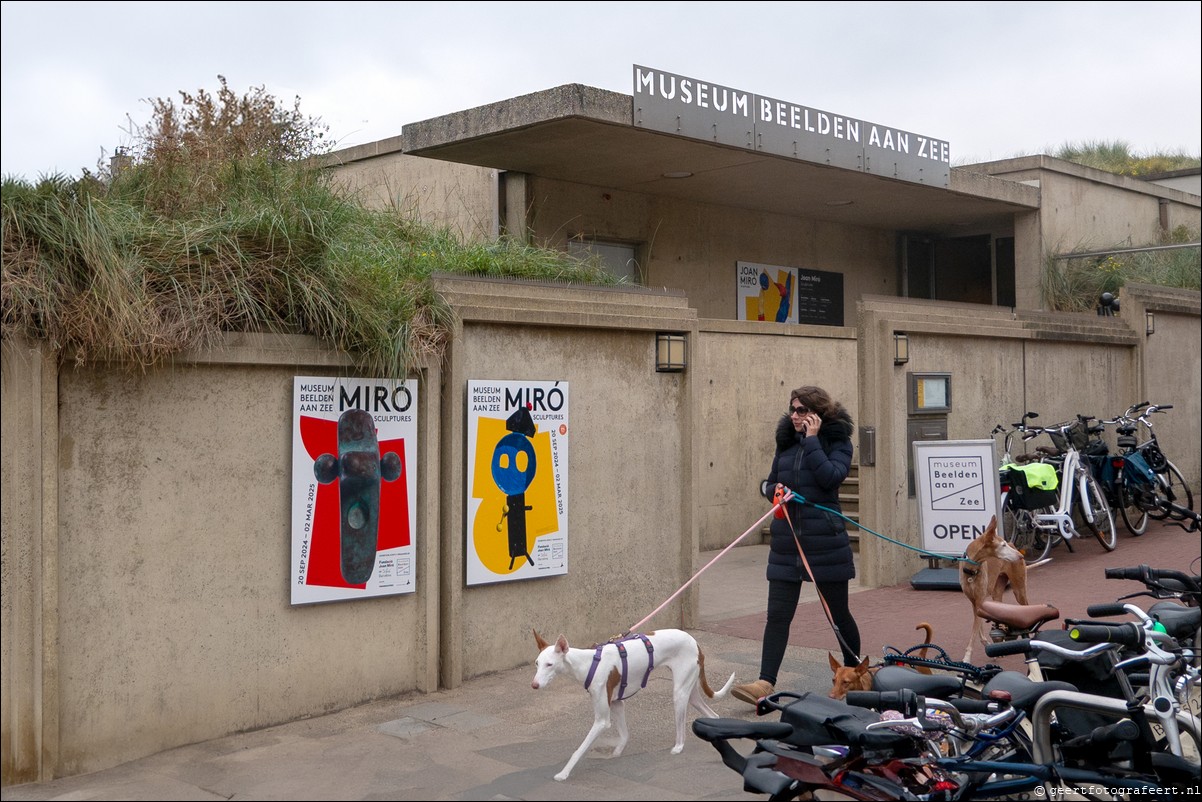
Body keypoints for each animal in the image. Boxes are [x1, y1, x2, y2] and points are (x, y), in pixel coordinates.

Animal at [533, 630, 735, 779]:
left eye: (549, 664)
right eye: (537, 663)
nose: (534, 685)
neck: (589, 663)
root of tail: (694, 641)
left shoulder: (602, 721)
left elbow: (579, 749)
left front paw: (563, 773)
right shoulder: (617, 704)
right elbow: (624, 734)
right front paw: (617, 752)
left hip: (679, 694)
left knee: (681, 728)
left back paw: (678, 747)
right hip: (690, 692)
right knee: (713, 715)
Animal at [961, 514, 1028, 663]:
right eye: (1002, 545)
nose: (1021, 556)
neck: (972, 571)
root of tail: (1014, 544)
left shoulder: (979, 601)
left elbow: (974, 632)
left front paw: (967, 658)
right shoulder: (974, 601)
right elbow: (978, 629)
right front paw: (987, 644)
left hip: (1019, 591)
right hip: (996, 594)